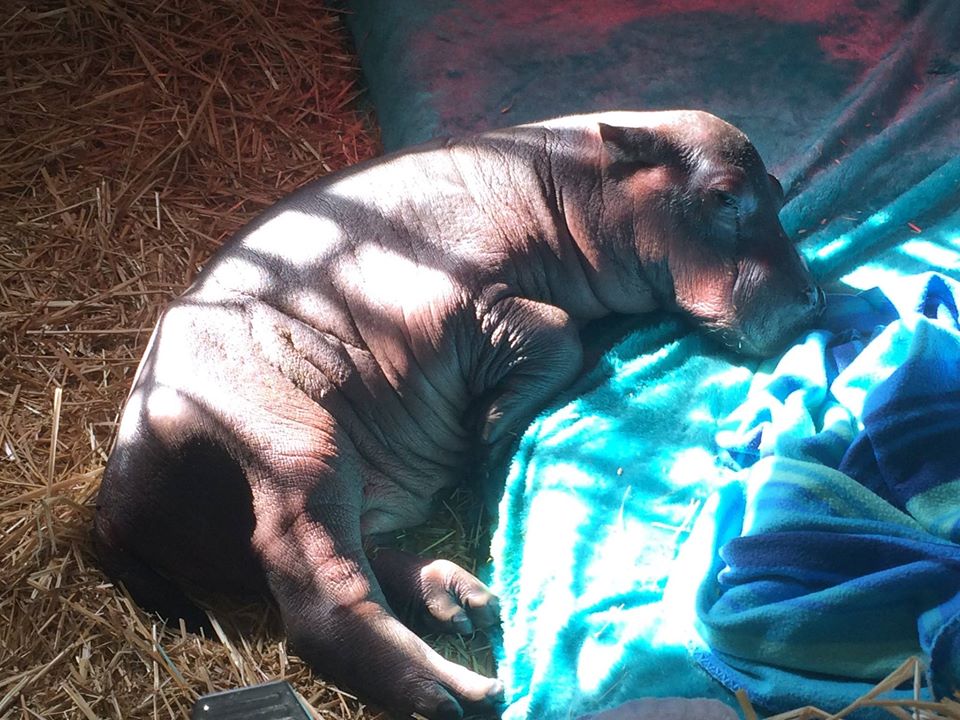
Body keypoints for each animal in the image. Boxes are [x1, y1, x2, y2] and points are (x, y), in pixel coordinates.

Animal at [93, 110, 823, 719]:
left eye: (777, 187)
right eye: (724, 195)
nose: (814, 299)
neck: (567, 183)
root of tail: (111, 498)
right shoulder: (453, 301)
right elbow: (553, 329)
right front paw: (489, 431)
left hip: (330, 470)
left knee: (346, 554)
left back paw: (463, 601)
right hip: (294, 445)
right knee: (320, 599)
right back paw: (462, 691)